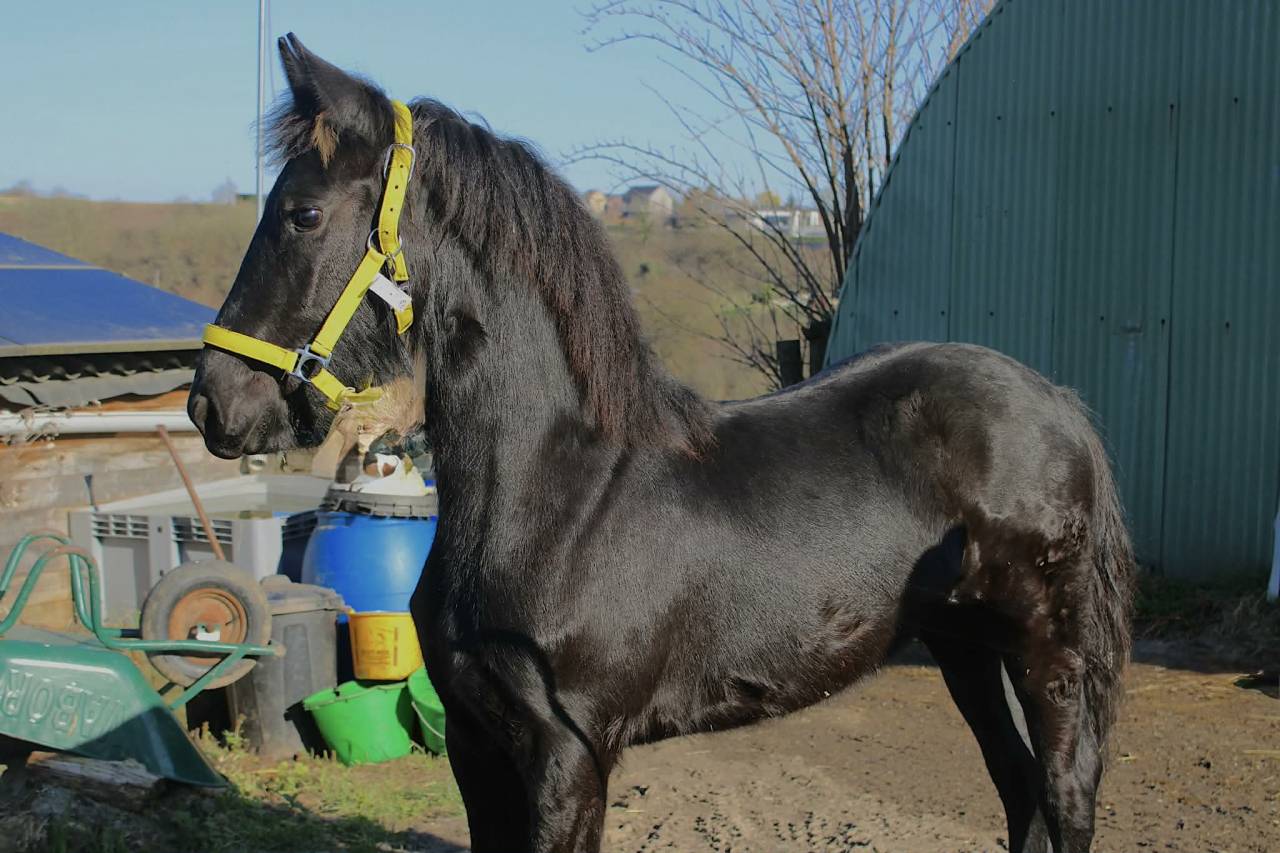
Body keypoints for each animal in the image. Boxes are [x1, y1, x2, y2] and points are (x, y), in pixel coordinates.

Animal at [189, 34, 1134, 853]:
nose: (213, 403)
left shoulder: (568, 755)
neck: (559, 493)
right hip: (962, 644)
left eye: (303, 213)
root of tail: (1058, 402)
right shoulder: (476, 746)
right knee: (1019, 792)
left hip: (1046, 650)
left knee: (1065, 794)